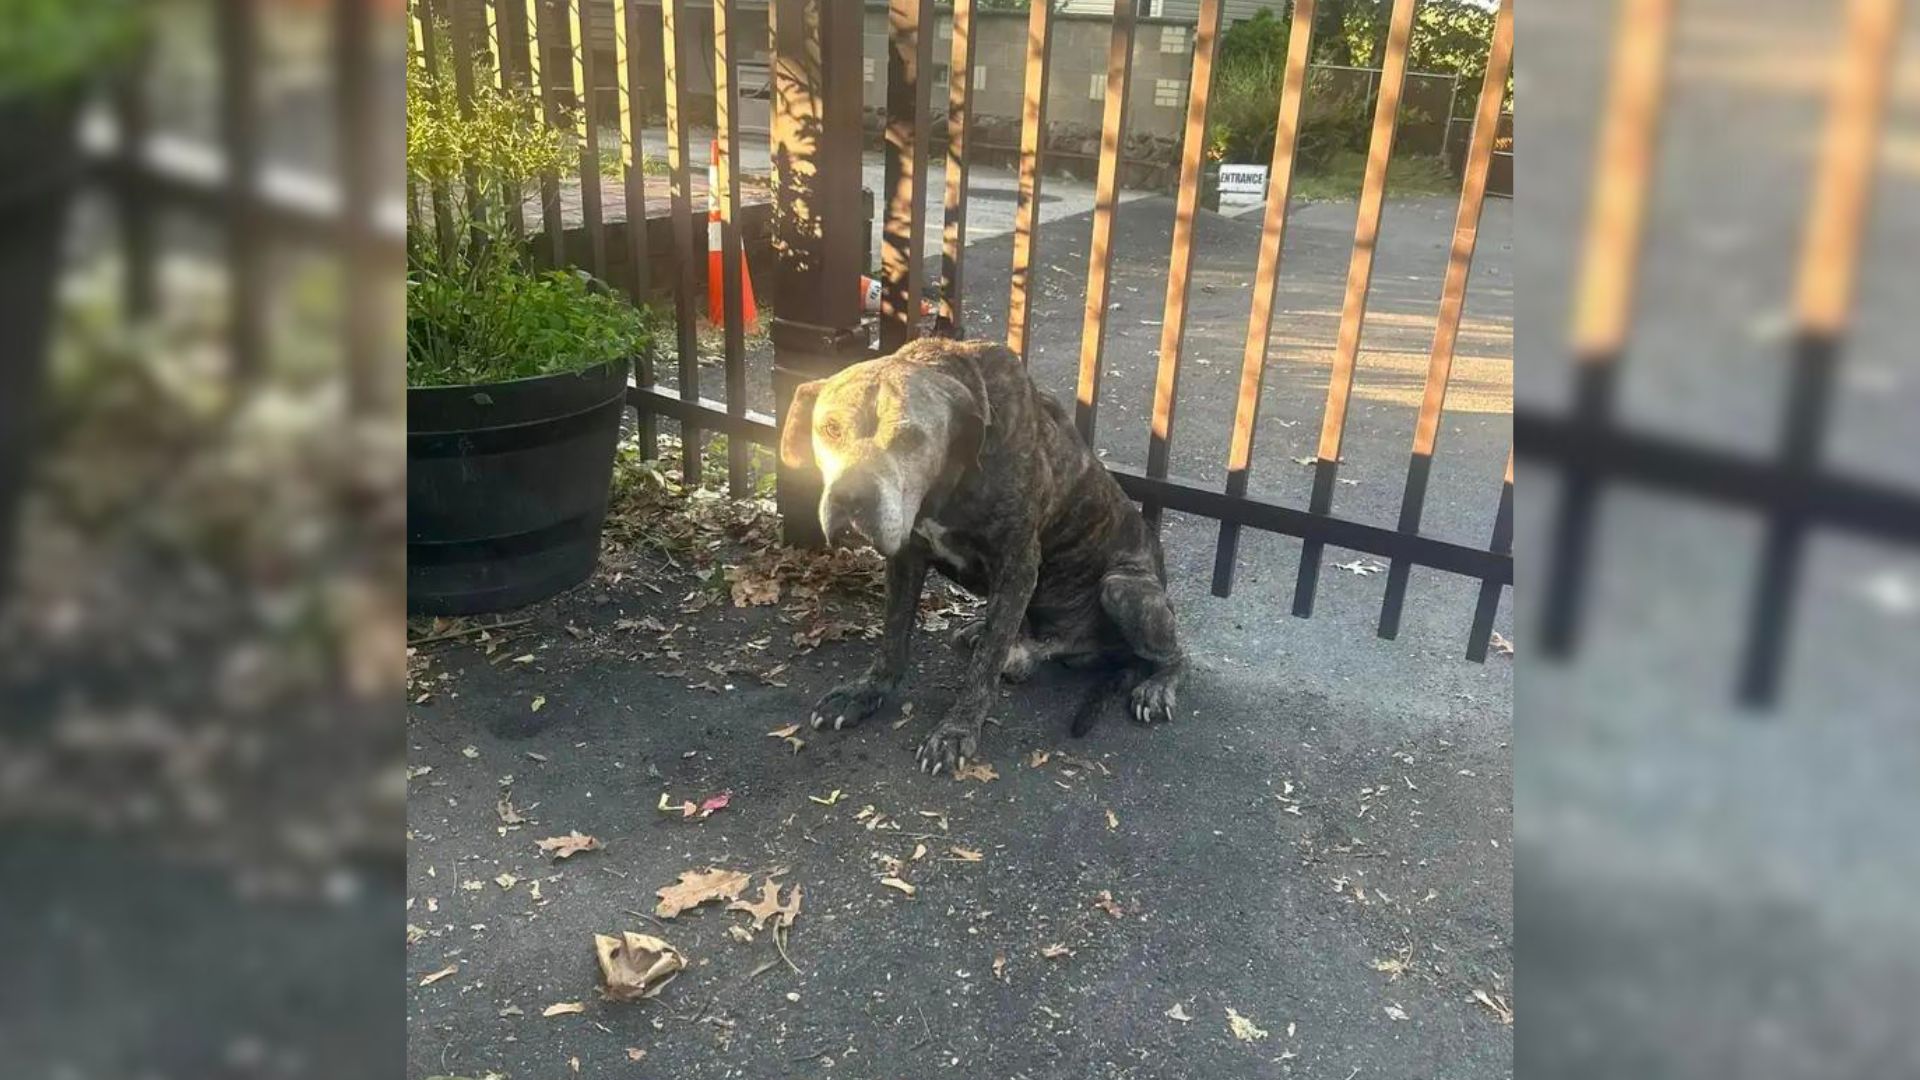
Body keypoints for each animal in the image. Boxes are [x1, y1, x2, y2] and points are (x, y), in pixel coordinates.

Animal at [771, 336, 1175, 764]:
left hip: (1123, 588)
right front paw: (866, 690)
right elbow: (893, 635)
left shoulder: (1017, 567)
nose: (851, 497)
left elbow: (985, 665)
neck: (949, 480)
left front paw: (957, 729)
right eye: (830, 428)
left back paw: (1157, 687)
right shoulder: (906, 557)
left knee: (1174, 654)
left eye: (911, 439)